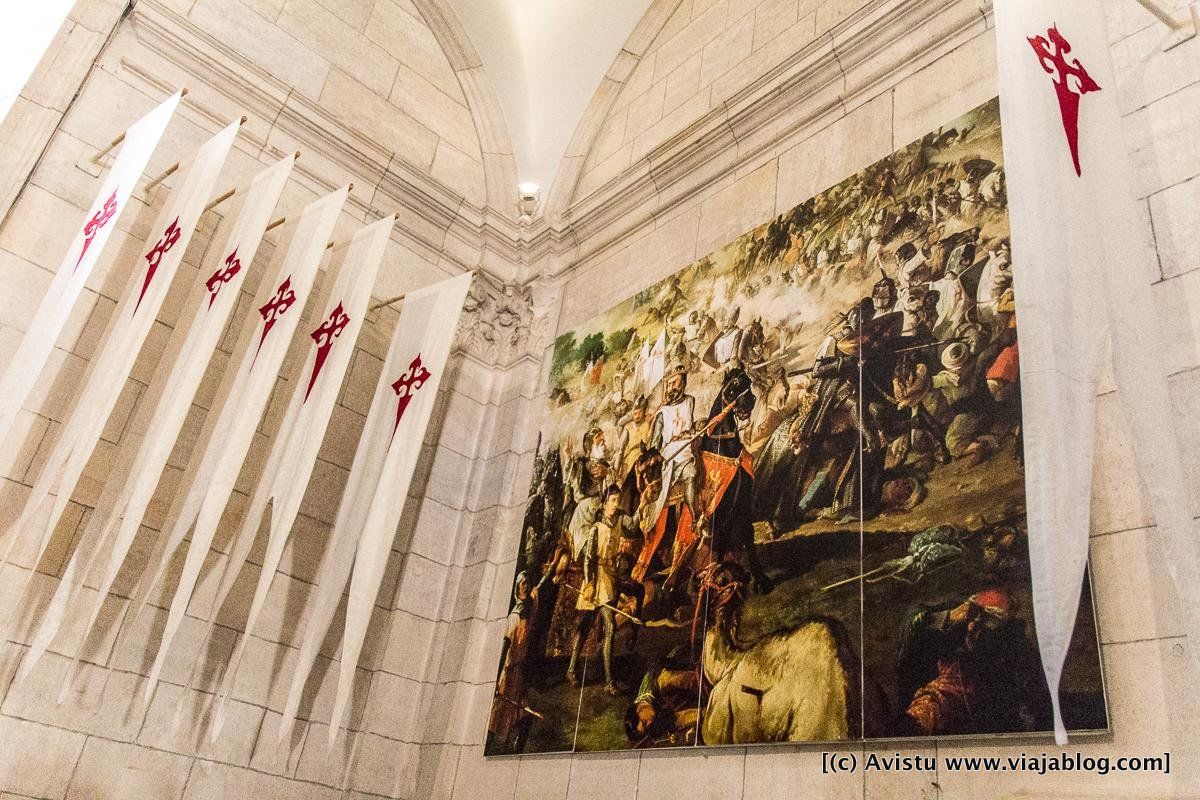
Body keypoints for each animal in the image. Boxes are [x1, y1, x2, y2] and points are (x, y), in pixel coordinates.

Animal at [696, 369, 777, 594]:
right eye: (733, 385)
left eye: (747, 383)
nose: (750, 401)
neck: (724, 449)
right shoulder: (718, 509)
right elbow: (718, 544)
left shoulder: (742, 503)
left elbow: (747, 536)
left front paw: (760, 579)